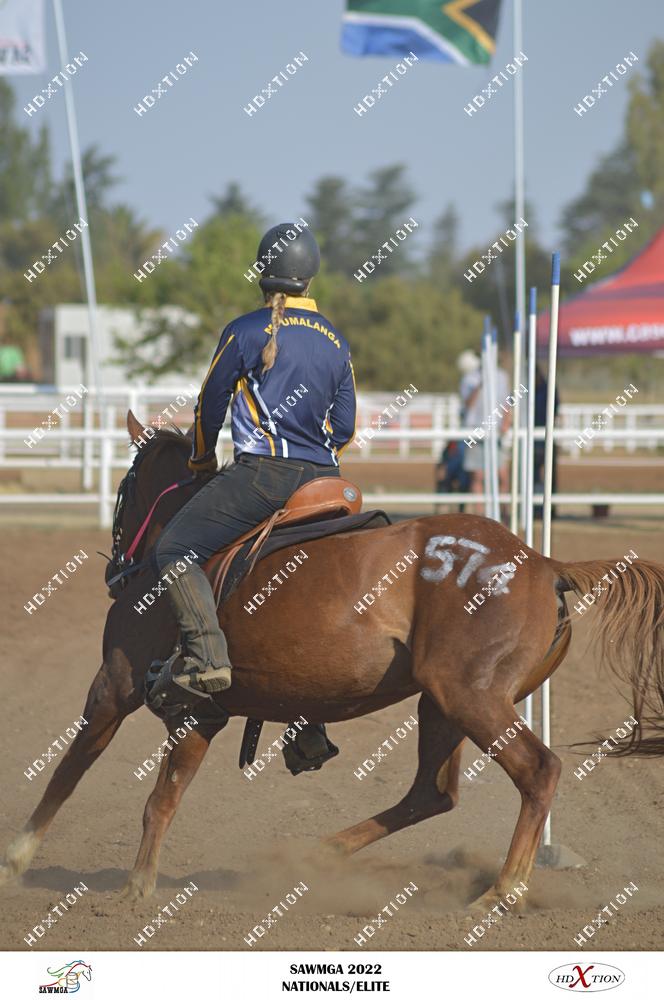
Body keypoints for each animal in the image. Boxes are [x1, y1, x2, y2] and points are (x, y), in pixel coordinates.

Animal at [2, 413, 663, 914]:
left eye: (124, 487)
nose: (116, 570)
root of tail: (543, 563)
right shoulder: (203, 715)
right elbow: (159, 794)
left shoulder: (118, 688)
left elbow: (80, 773)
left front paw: (31, 861)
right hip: (443, 705)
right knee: (430, 794)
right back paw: (324, 854)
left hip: (472, 698)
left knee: (537, 771)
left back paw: (501, 891)